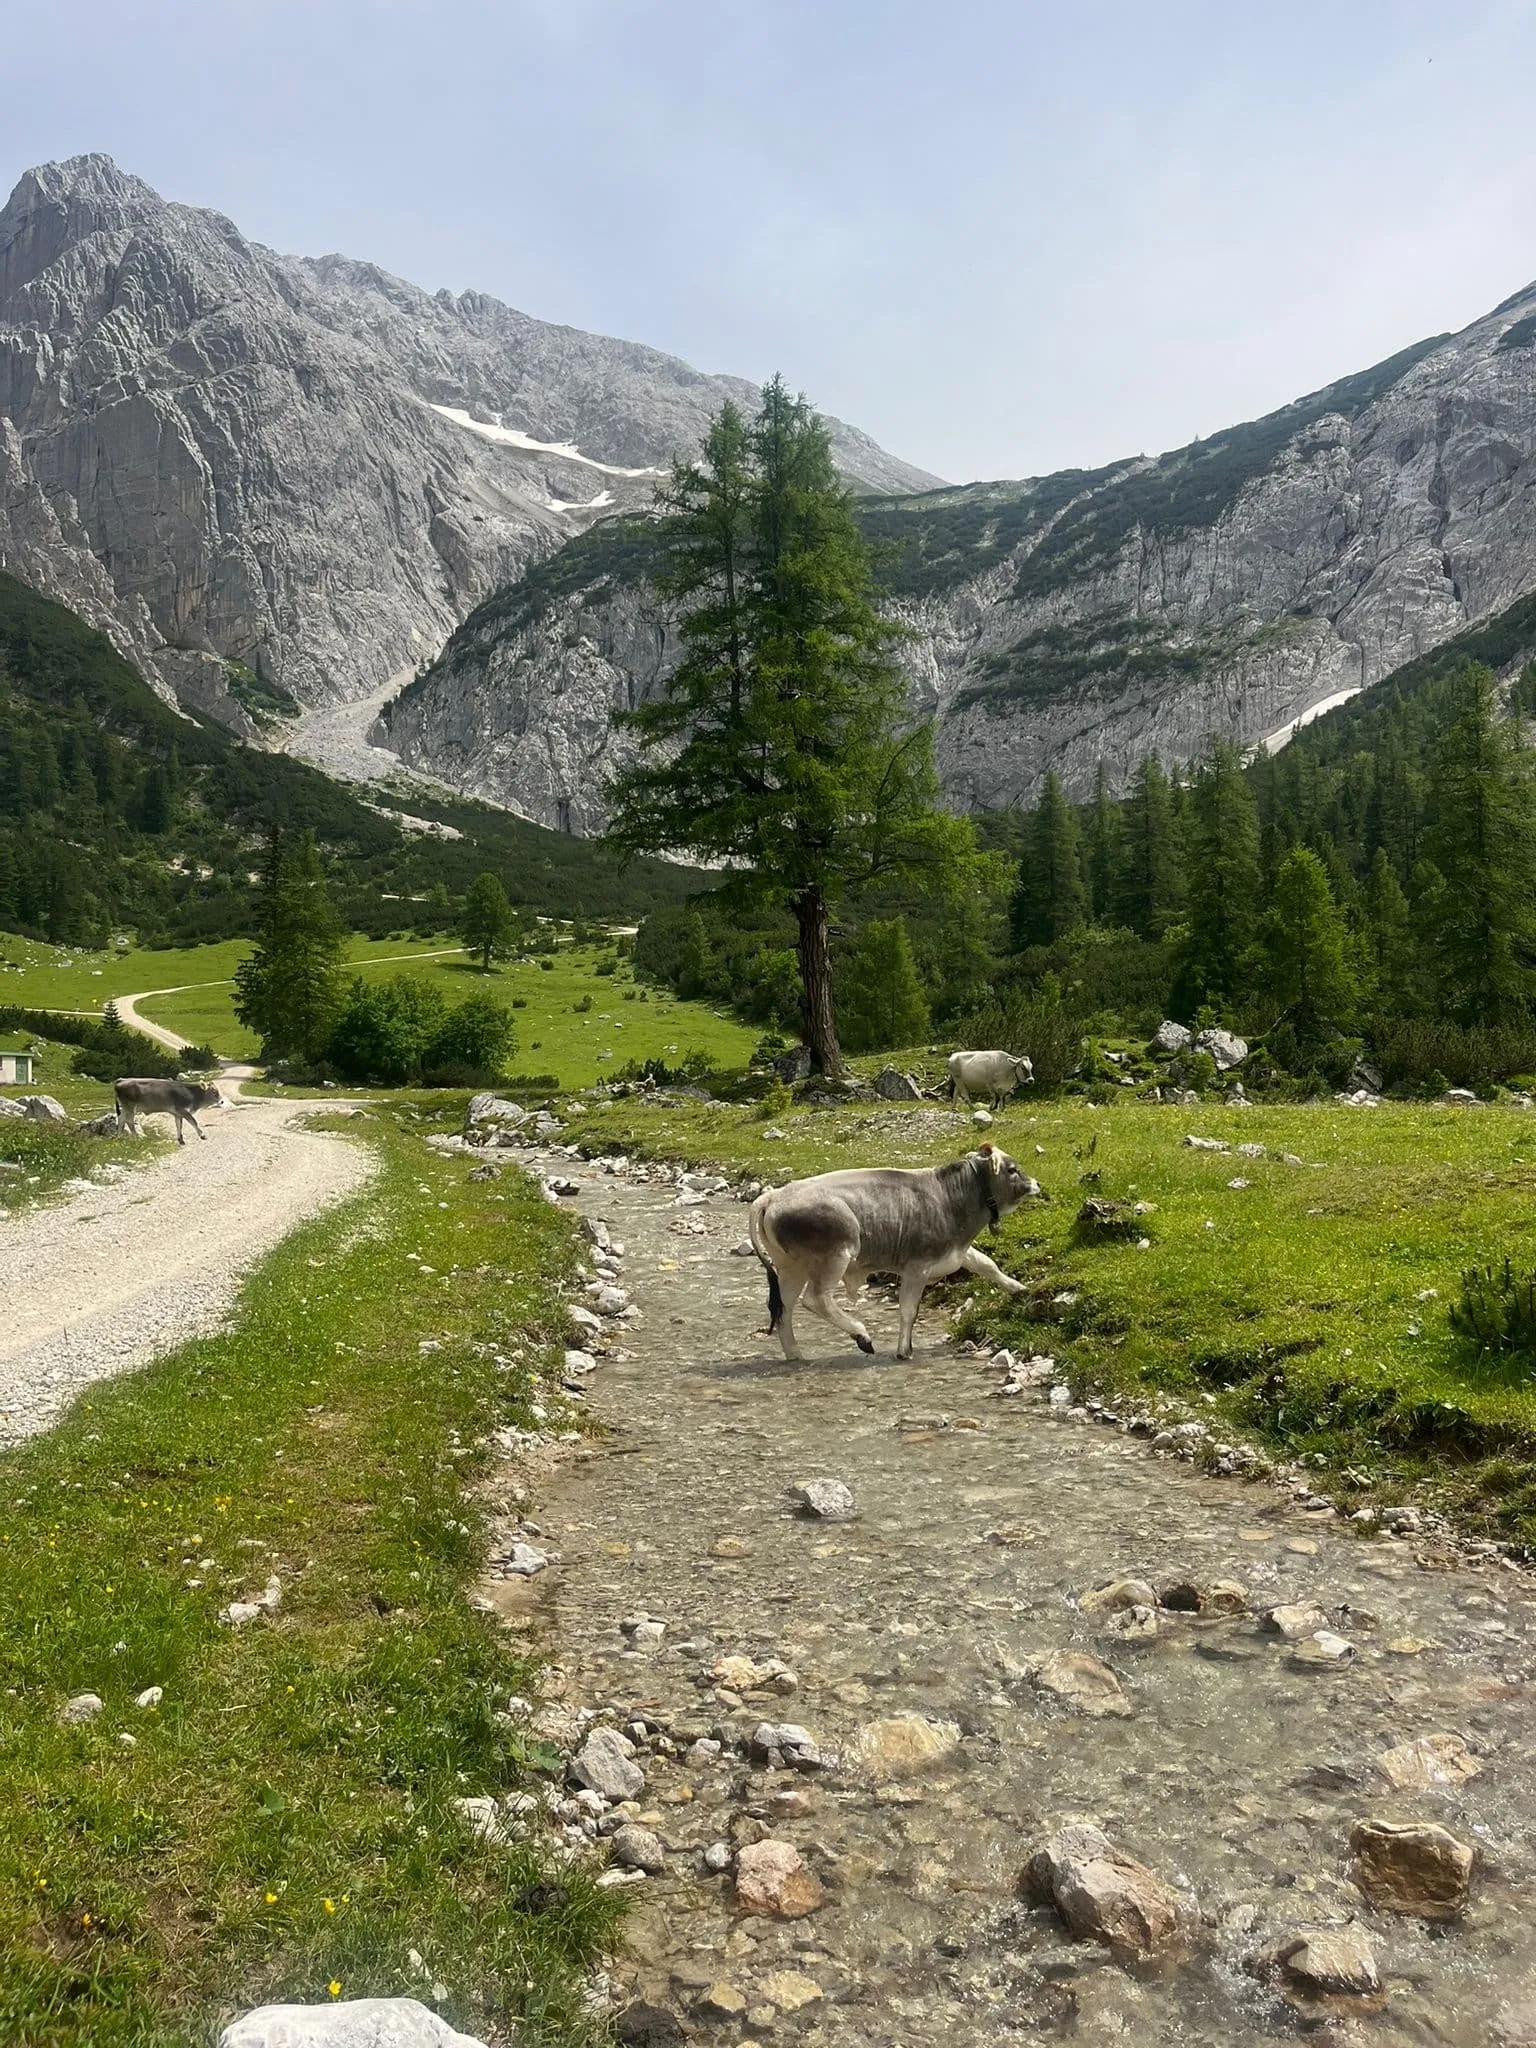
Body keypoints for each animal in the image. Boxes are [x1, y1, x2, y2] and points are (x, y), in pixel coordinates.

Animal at [749, 1138, 1048, 1359]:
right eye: (1012, 1169)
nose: (1036, 1184)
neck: (950, 1197)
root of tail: (773, 1196)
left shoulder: (958, 1252)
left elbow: (988, 1265)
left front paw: (1019, 1289)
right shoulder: (917, 1267)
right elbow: (908, 1309)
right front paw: (904, 1350)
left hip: (791, 1267)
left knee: (783, 1308)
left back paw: (795, 1354)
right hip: (835, 1255)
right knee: (815, 1299)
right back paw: (862, 1335)